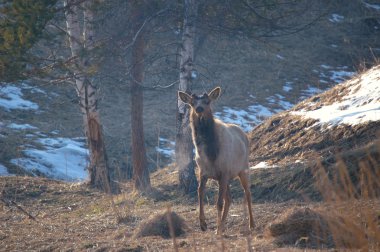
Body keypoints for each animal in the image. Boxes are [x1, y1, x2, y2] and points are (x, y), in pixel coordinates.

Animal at [179, 86, 255, 234]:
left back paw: (251, 224)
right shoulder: (204, 172)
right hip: (225, 177)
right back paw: (224, 225)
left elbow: (218, 203)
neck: (210, 155)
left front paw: (217, 229)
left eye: (207, 101)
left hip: (243, 169)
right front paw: (203, 224)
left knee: (247, 193)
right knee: (229, 199)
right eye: (192, 103)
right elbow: (200, 194)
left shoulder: (224, 172)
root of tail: (244, 134)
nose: (199, 108)